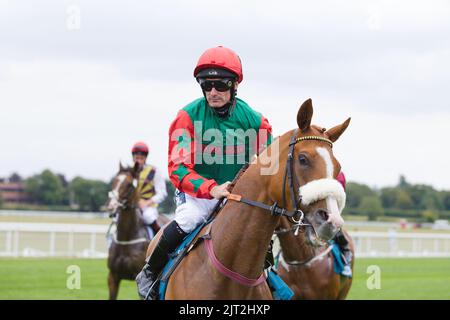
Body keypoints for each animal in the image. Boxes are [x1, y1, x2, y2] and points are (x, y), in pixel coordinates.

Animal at [106, 162, 169, 300]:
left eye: (129, 184)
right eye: (114, 181)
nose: (112, 205)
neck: (126, 238)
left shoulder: (139, 278)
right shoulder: (113, 276)